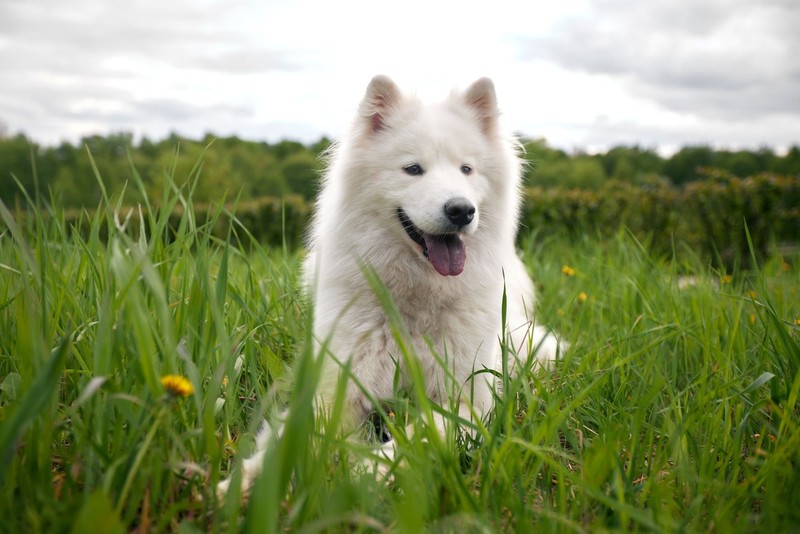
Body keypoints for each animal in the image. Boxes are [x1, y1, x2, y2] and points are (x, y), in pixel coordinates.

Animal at [217, 75, 564, 498]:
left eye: (466, 169)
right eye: (413, 169)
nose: (461, 210)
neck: (414, 305)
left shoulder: (468, 401)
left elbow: (418, 438)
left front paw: (366, 472)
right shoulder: (335, 386)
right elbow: (288, 439)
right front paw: (246, 482)